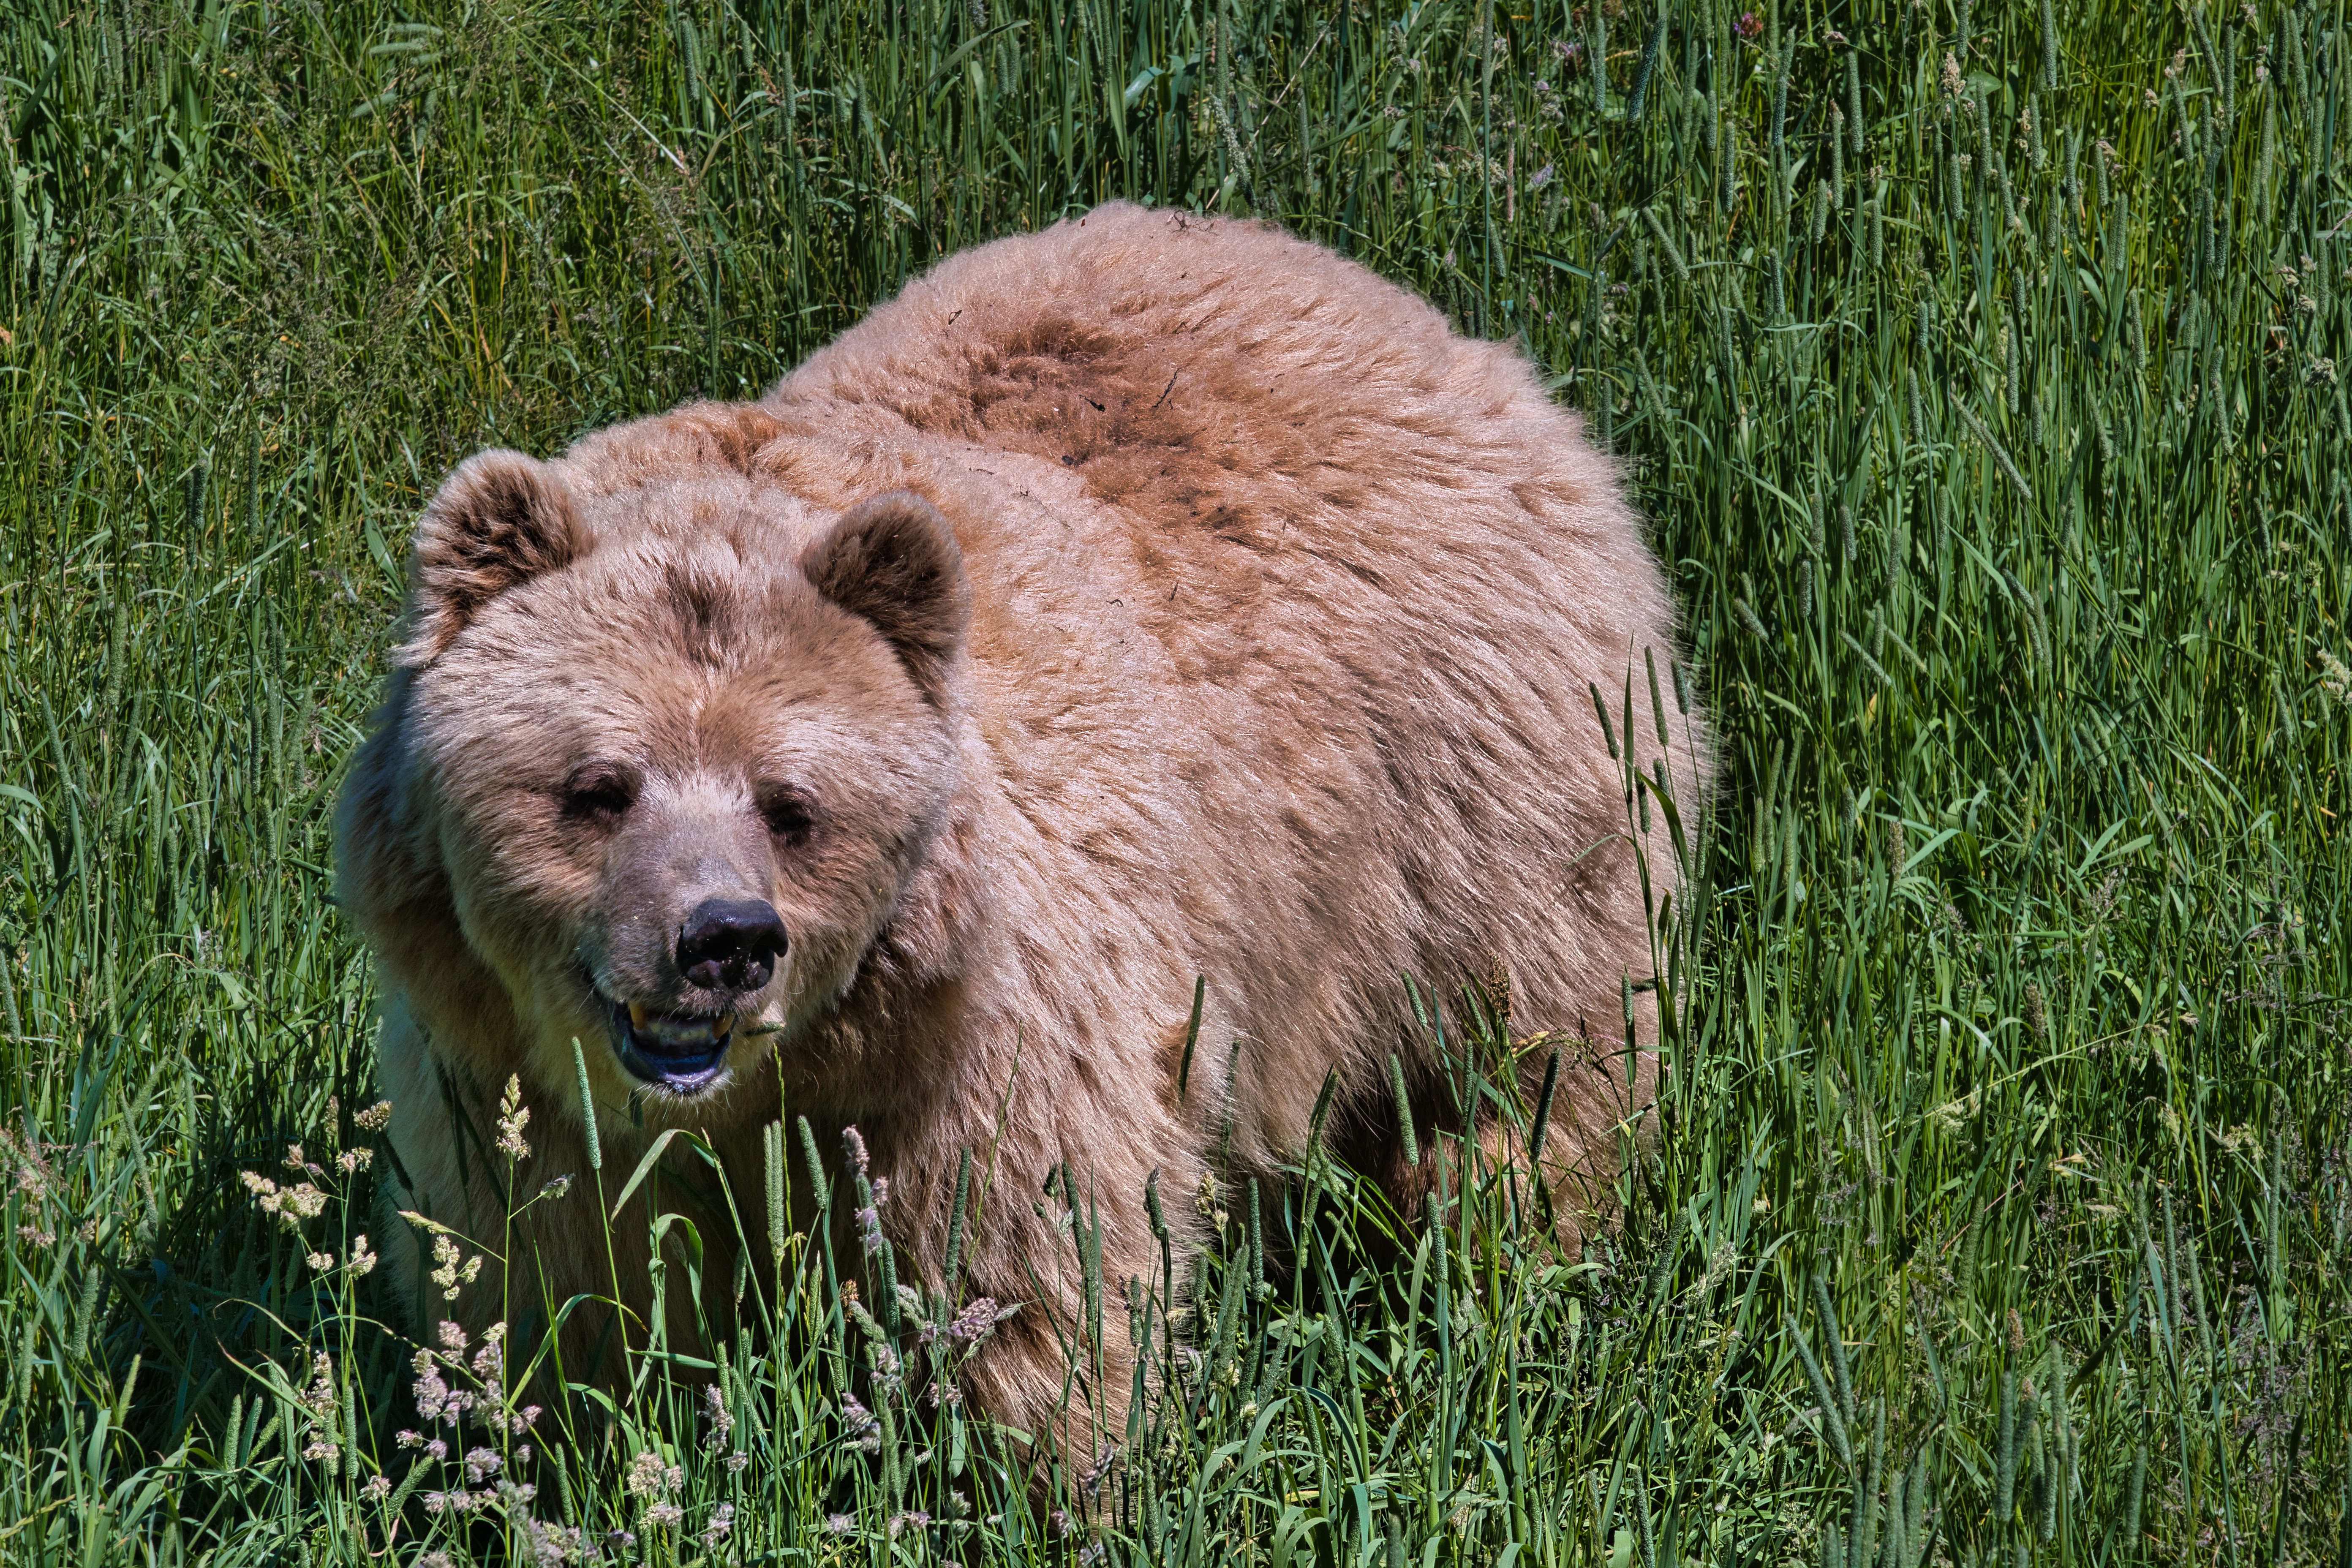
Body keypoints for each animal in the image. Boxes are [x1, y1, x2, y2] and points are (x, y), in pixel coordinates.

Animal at [336, 202, 1693, 1457]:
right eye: (600, 786)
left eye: (793, 806)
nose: (723, 941)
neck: (769, 1089)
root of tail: (1416, 316)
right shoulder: (513, 1094)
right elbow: (544, 1293)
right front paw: (536, 1438)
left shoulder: (986, 1043)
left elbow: (1029, 1282)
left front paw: (1053, 1466)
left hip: (1480, 796)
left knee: (1523, 1070)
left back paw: (1514, 1261)